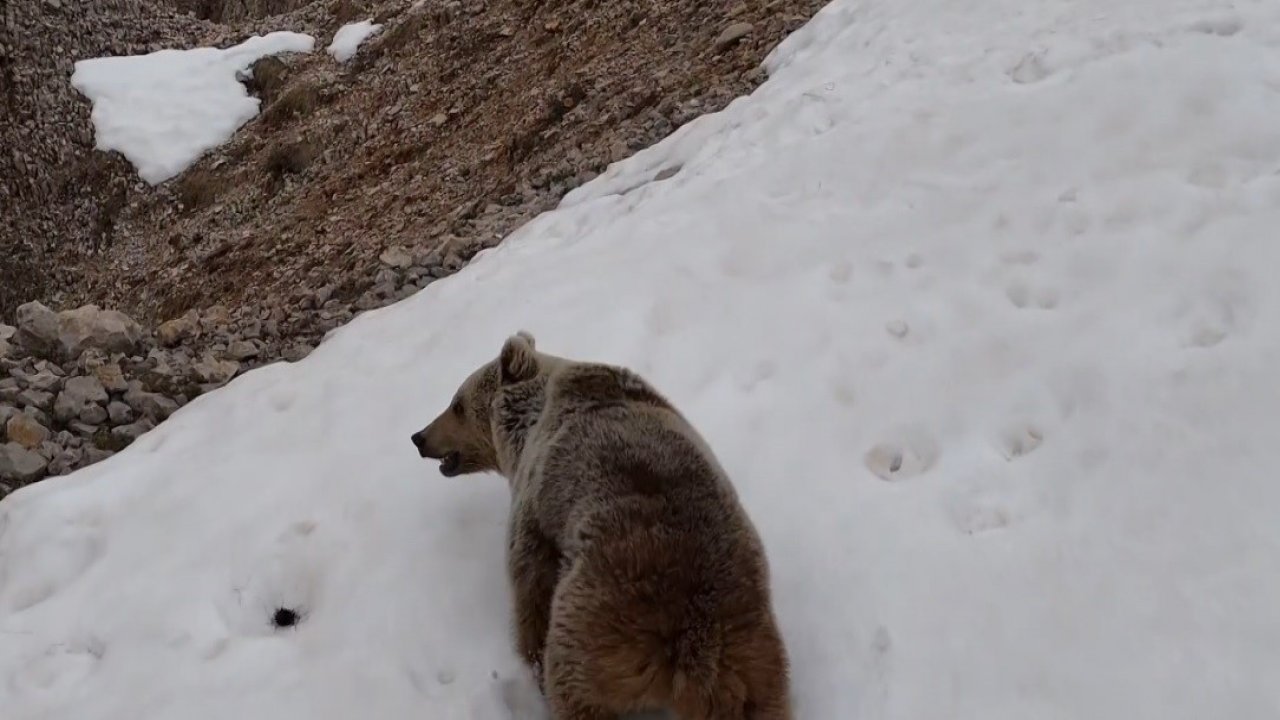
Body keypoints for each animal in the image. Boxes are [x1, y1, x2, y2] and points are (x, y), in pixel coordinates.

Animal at [409, 333, 788, 712]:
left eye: (457, 404)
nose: (419, 437)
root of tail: (693, 647)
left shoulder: (536, 505)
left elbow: (531, 586)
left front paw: (531, 658)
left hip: (595, 631)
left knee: (574, 687)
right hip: (751, 660)